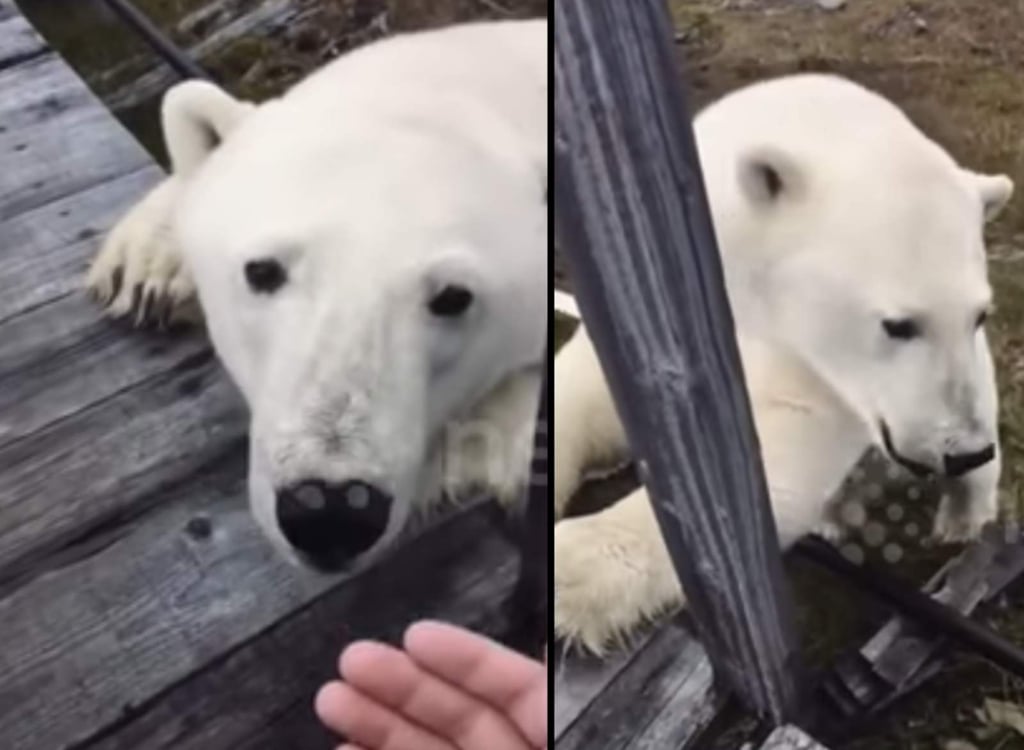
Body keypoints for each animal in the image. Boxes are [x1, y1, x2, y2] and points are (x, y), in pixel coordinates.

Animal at [557, 73, 1011, 651]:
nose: (961, 450)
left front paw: (573, 566)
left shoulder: (816, 365)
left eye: (979, 314)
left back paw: (961, 518)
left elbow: (777, 448)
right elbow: (592, 385)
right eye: (900, 324)